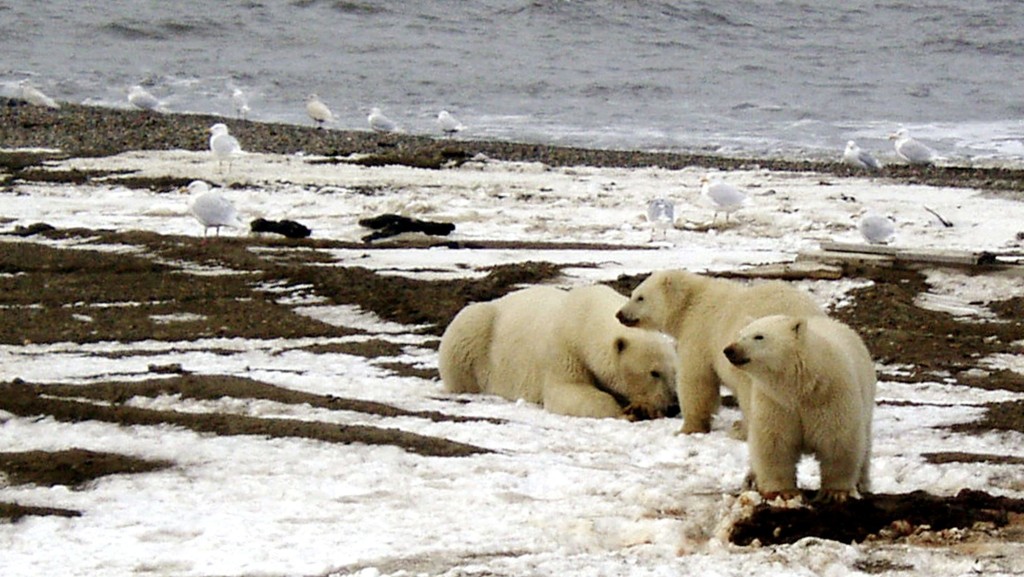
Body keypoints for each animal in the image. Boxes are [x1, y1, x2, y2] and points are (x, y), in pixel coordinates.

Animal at [438, 284, 679, 420]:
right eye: (654, 372)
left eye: (674, 372)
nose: (673, 406)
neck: (585, 319)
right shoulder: (564, 349)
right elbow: (568, 391)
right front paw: (628, 412)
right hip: (476, 332)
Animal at [614, 268, 823, 436]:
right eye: (633, 293)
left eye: (640, 297)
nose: (620, 314)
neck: (691, 302)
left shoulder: (700, 332)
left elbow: (697, 379)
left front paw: (688, 428)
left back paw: (742, 430)